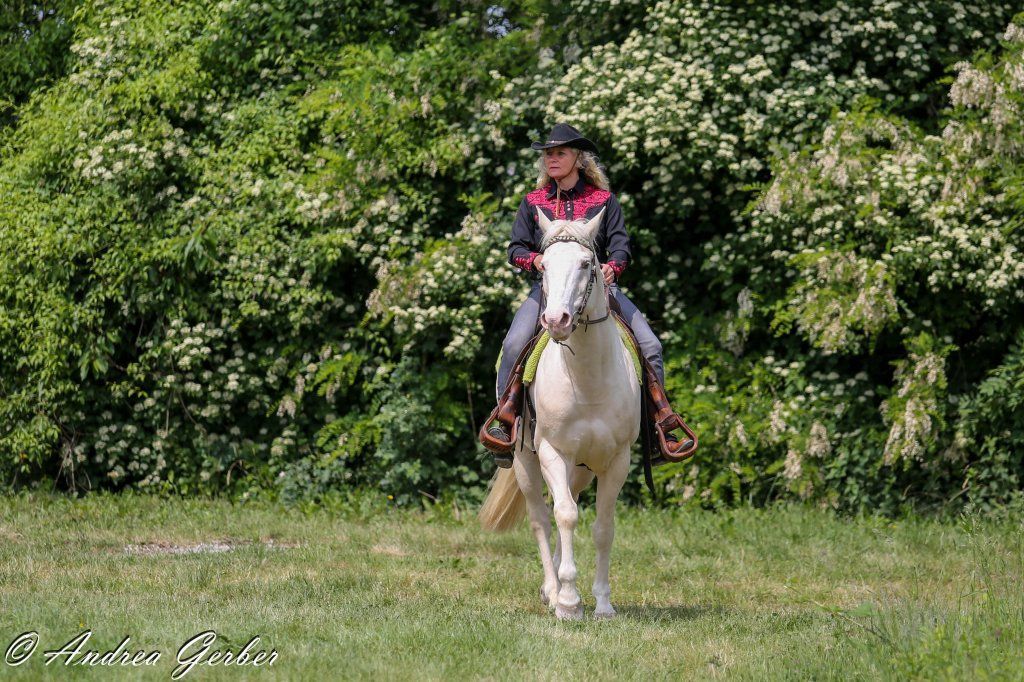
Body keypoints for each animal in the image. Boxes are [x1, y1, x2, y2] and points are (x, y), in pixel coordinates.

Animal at [478, 205, 642, 620]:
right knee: (542, 518)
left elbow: (602, 526)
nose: (557, 321)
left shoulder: (616, 460)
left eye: (587, 263)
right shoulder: (553, 453)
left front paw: (602, 602)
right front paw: (567, 602)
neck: (587, 381)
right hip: (526, 463)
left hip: (581, 469)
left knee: (565, 503)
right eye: (545, 264)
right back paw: (552, 589)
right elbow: (564, 517)